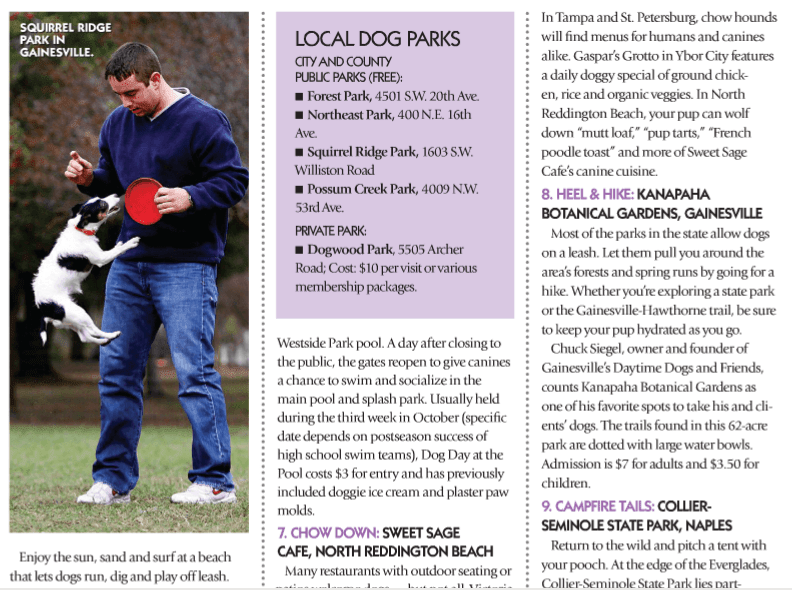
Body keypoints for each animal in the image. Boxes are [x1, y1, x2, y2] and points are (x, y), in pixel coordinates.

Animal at [32, 195, 139, 346]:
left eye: (99, 198)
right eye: (102, 204)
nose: (116, 195)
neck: (81, 230)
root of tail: (44, 310)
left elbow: (117, 248)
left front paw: (120, 244)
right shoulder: (101, 258)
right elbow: (117, 250)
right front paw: (131, 242)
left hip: (72, 322)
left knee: (85, 337)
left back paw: (105, 340)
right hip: (78, 313)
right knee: (93, 330)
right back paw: (111, 334)